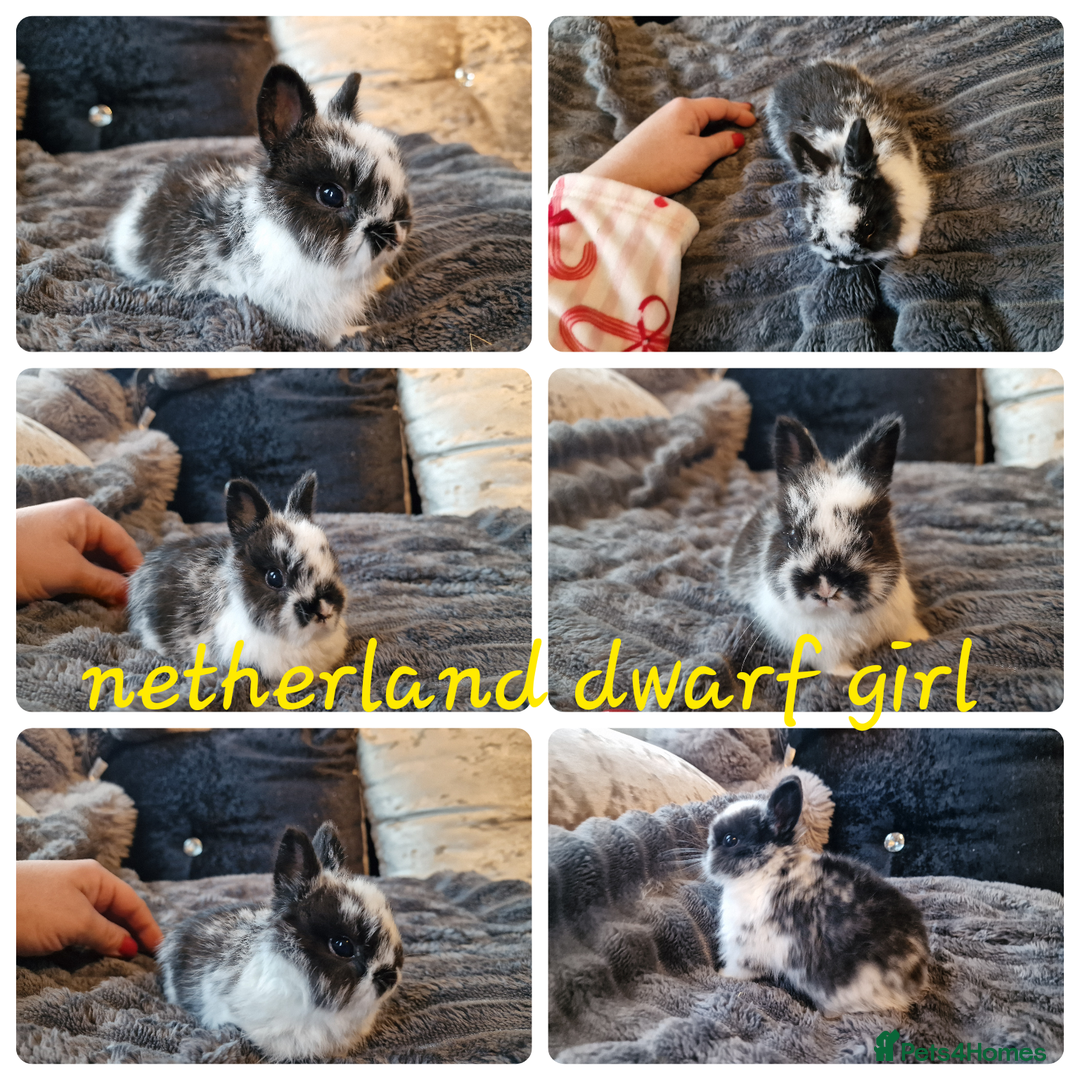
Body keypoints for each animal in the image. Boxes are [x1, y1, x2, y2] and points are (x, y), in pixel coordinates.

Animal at [703, 776, 930, 1016]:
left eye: (730, 839)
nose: (707, 853)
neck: (767, 866)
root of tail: (916, 978)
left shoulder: (744, 948)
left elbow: (739, 970)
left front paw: (722, 975)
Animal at [727, 414, 928, 676]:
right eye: (792, 537)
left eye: (869, 537)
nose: (826, 589)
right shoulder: (820, 650)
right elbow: (833, 666)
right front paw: (849, 675)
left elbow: (909, 632)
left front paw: (922, 638)